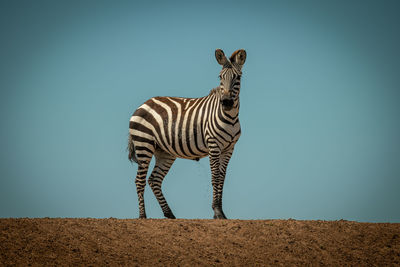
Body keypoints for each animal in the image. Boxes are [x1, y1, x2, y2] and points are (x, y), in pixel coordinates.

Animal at [128, 48, 247, 220]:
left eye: (238, 77)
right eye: (220, 77)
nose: (226, 102)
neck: (229, 117)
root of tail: (144, 103)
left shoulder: (229, 149)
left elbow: (222, 178)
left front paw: (221, 213)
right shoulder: (213, 145)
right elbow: (215, 177)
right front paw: (217, 211)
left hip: (164, 152)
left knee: (154, 180)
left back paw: (169, 214)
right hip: (144, 144)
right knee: (139, 180)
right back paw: (143, 216)